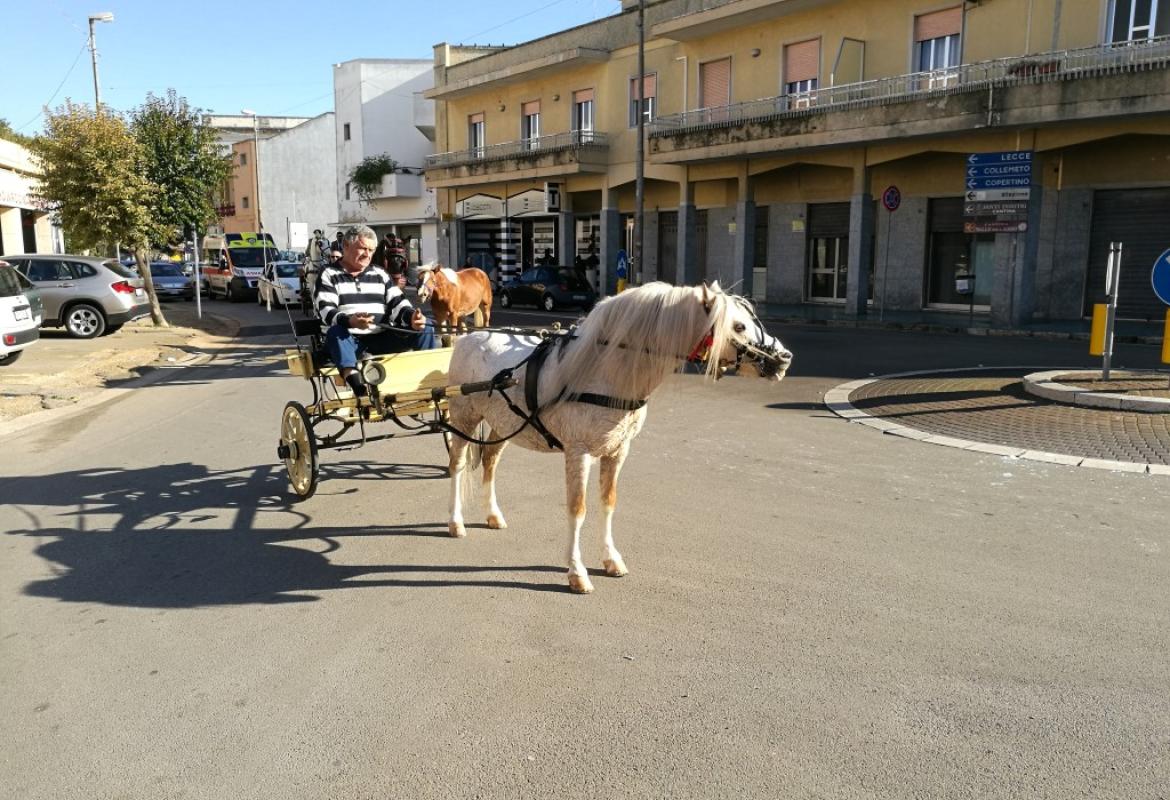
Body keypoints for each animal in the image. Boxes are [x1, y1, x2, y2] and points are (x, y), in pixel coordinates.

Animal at [444, 281, 793, 594]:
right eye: (739, 326)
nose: (785, 358)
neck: (604, 369)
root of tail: (470, 336)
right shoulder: (578, 452)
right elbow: (578, 509)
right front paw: (577, 572)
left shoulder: (617, 450)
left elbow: (608, 503)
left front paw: (611, 559)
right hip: (463, 418)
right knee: (457, 466)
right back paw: (455, 522)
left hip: (502, 423)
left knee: (490, 461)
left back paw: (492, 514)